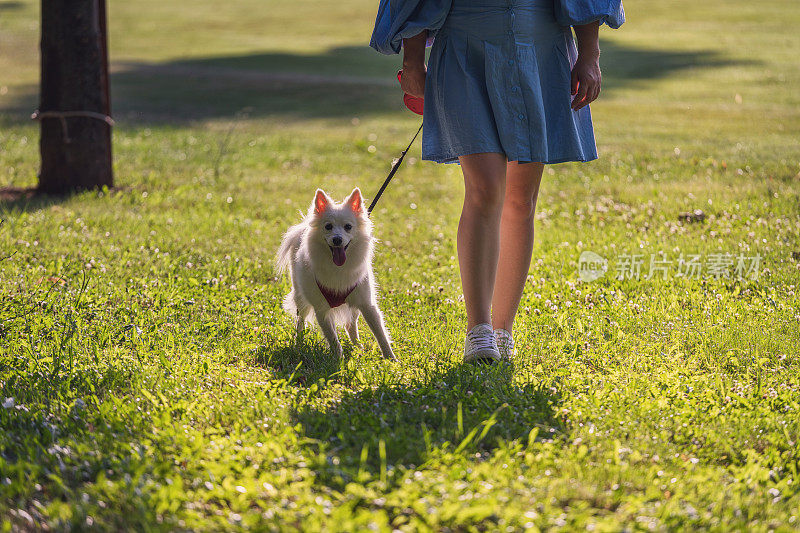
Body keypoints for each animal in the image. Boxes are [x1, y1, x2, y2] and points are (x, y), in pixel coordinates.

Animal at [276, 189, 396, 360]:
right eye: (328, 226)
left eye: (348, 227)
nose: (337, 239)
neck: (338, 267)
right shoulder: (321, 310)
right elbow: (332, 338)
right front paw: (339, 359)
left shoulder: (367, 305)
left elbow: (381, 334)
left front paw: (391, 359)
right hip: (301, 299)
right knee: (300, 322)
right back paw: (298, 344)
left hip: (354, 306)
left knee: (350, 325)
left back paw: (357, 347)